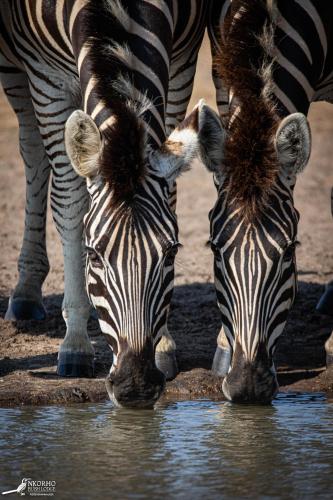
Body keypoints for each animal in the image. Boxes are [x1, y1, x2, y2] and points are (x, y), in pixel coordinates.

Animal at [1, 0, 223, 406]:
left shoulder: (182, 62)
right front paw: (75, 344)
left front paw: (163, 344)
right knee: (32, 151)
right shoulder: (45, 76)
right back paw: (25, 291)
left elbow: (170, 190)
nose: (136, 386)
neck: (118, 10)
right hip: (13, 67)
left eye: (172, 252)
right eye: (93, 255)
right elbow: (70, 203)